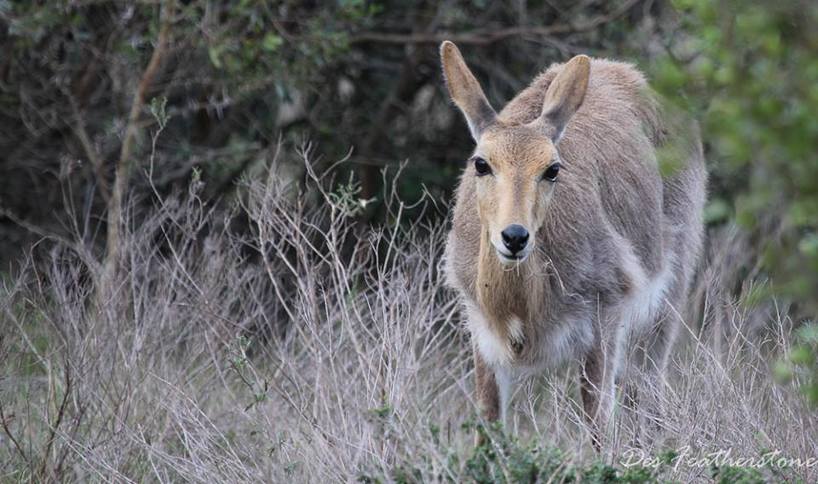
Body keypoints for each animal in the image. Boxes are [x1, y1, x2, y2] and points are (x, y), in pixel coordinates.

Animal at [440, 39, 708, 448]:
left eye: (552, 169)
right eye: (481, 163)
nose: (514, 236)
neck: (523, 305)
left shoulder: (605, 315)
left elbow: (598, 424)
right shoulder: (481, 333)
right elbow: (487, 427)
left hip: (668, 300)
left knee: (648, 389)